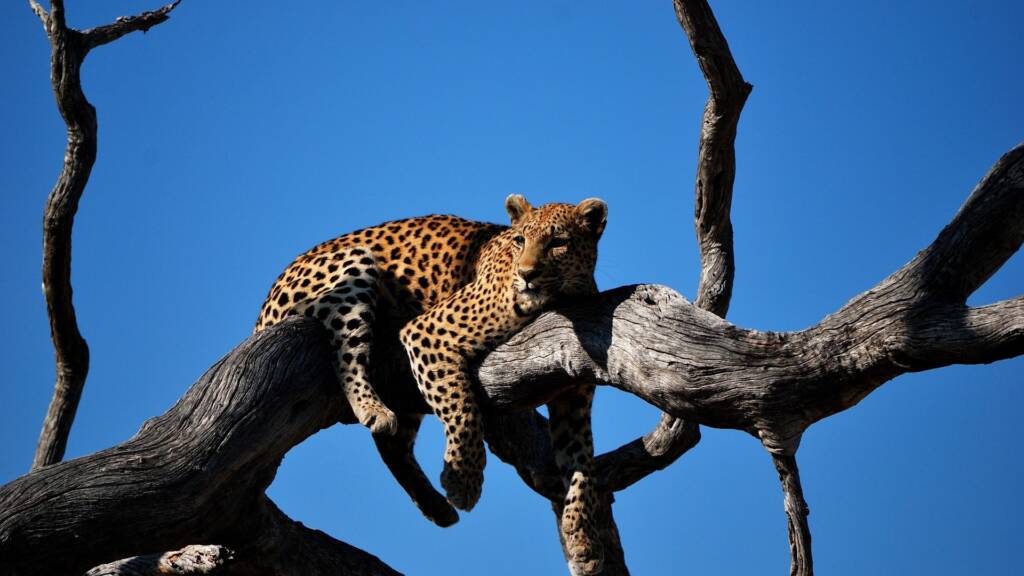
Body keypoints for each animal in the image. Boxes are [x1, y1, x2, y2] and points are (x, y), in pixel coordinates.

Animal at [255, 195, 608, 575]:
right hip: (353, 267)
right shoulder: (427, 332)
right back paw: (372, 408)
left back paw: (435, 506)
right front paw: (463, 482)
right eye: (519, 241)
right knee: (346, 352)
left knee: (393, 445)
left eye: (558, 242)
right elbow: (462, 407)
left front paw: (583, 541)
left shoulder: (573, 400)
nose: (526, 275)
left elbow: (581, 464)